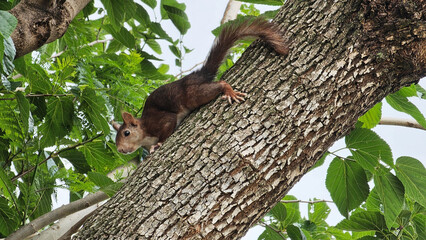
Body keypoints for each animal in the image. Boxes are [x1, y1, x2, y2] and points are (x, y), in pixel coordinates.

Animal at [112, 18, 290, 154]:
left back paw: (229, 91)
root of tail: (198, 74)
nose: (120, 150)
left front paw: (158, 144)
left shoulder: (158, 121)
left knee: (218, 85)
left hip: (193, 94)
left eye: (126, 133)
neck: (144, 133)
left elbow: (167, 125)